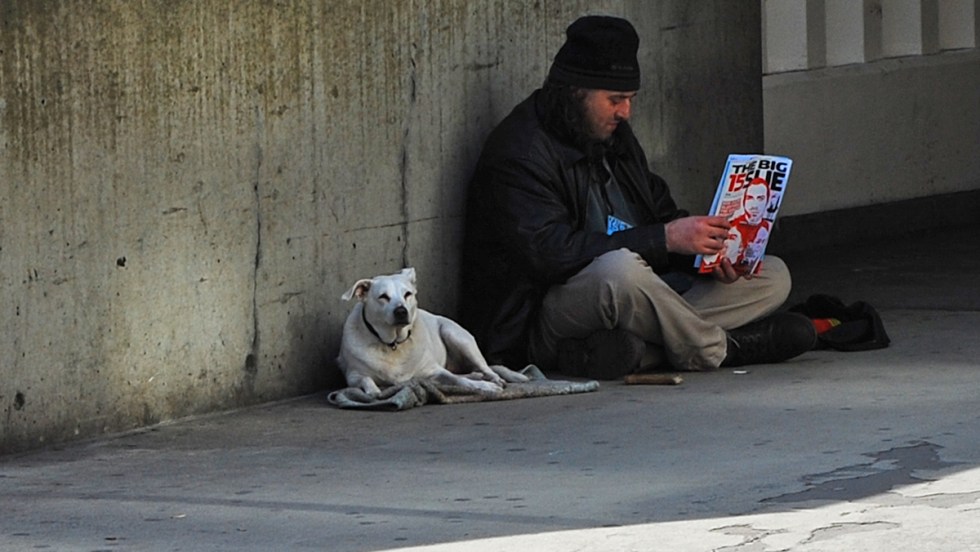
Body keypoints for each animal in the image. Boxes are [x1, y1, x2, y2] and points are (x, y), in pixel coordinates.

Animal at [336, 268, 528, 394]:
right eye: (383, 297)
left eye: (408, 294)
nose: (401, 311)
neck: (393, 344)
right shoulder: (354, 375)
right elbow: (368, 382)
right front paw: (375, 391)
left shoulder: (435, 370)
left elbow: (458, 380)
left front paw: (485, 387)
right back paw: (477, 375)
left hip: (455, 335)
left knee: (486, 368)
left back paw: (491, 378)